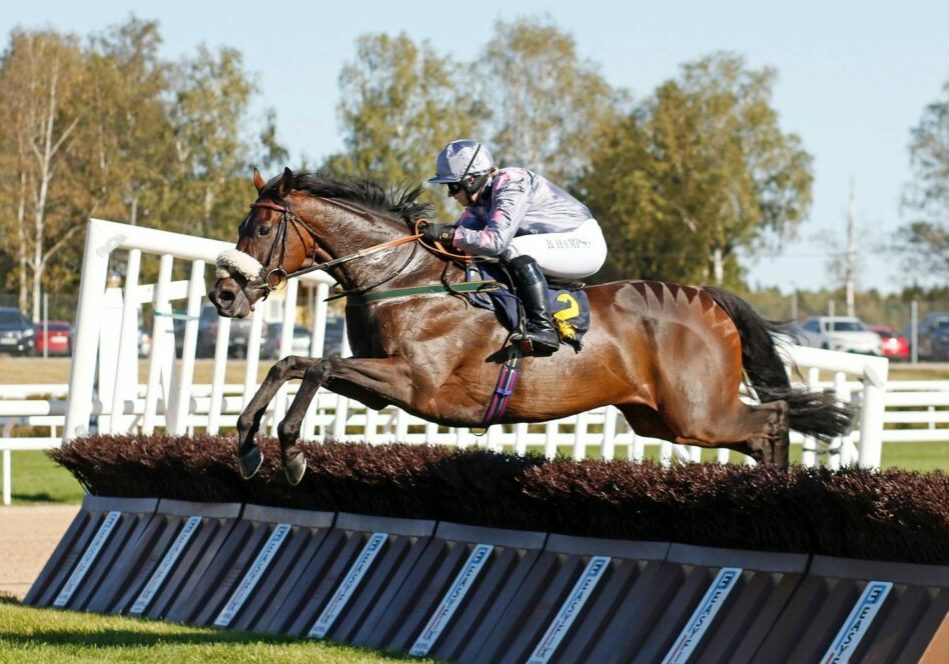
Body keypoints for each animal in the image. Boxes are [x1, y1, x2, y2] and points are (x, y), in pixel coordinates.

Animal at [207, 169, 852, 486]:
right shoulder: (380, 384)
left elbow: (312, 363)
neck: (403, 275)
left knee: (772, 419)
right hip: (661, 419)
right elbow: (292, 363)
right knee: (762, 430)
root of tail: (707, 299)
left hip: (696, 413)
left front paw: (290, 451)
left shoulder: (413, 382)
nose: (224, 294)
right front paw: (247, 444)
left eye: (260, 229)